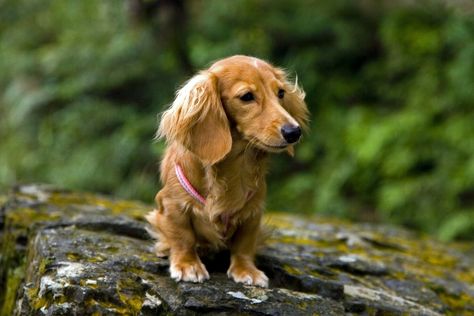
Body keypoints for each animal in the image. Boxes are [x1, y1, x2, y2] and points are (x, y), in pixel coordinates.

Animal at [146, 55, 310, 288]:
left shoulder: (253, 212)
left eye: (281, 93)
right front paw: (188, 265)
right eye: (247, 96)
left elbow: (244, 244)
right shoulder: (173, 203)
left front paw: (246, 270)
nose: (294, 132)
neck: (235, 165)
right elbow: (183, 236)